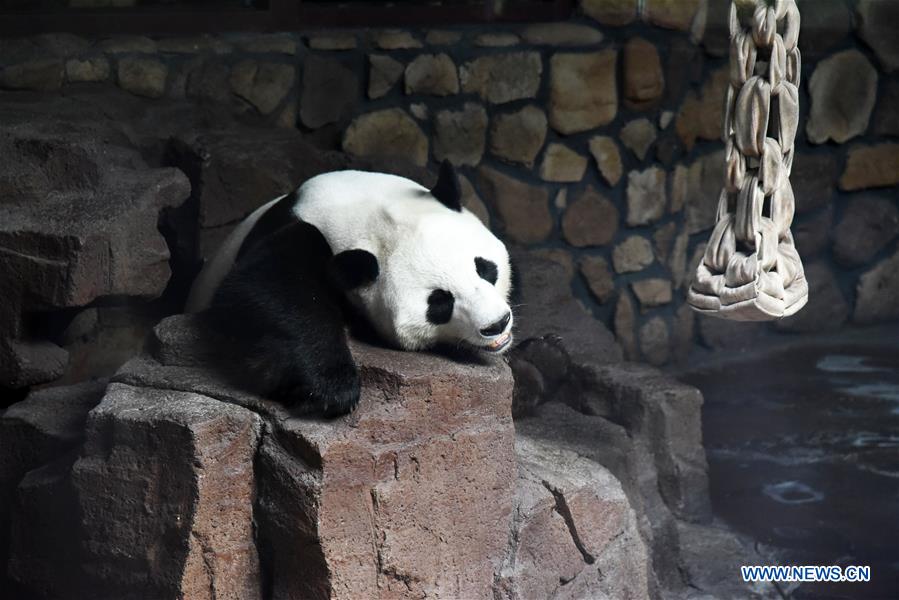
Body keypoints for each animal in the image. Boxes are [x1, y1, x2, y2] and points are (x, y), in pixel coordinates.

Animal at [186, 161, 514, 417]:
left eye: (485, 268)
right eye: (439, 302)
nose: (496, 324)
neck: (367, 213)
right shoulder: (297, 229)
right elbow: (259, 289)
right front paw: (331, 389)